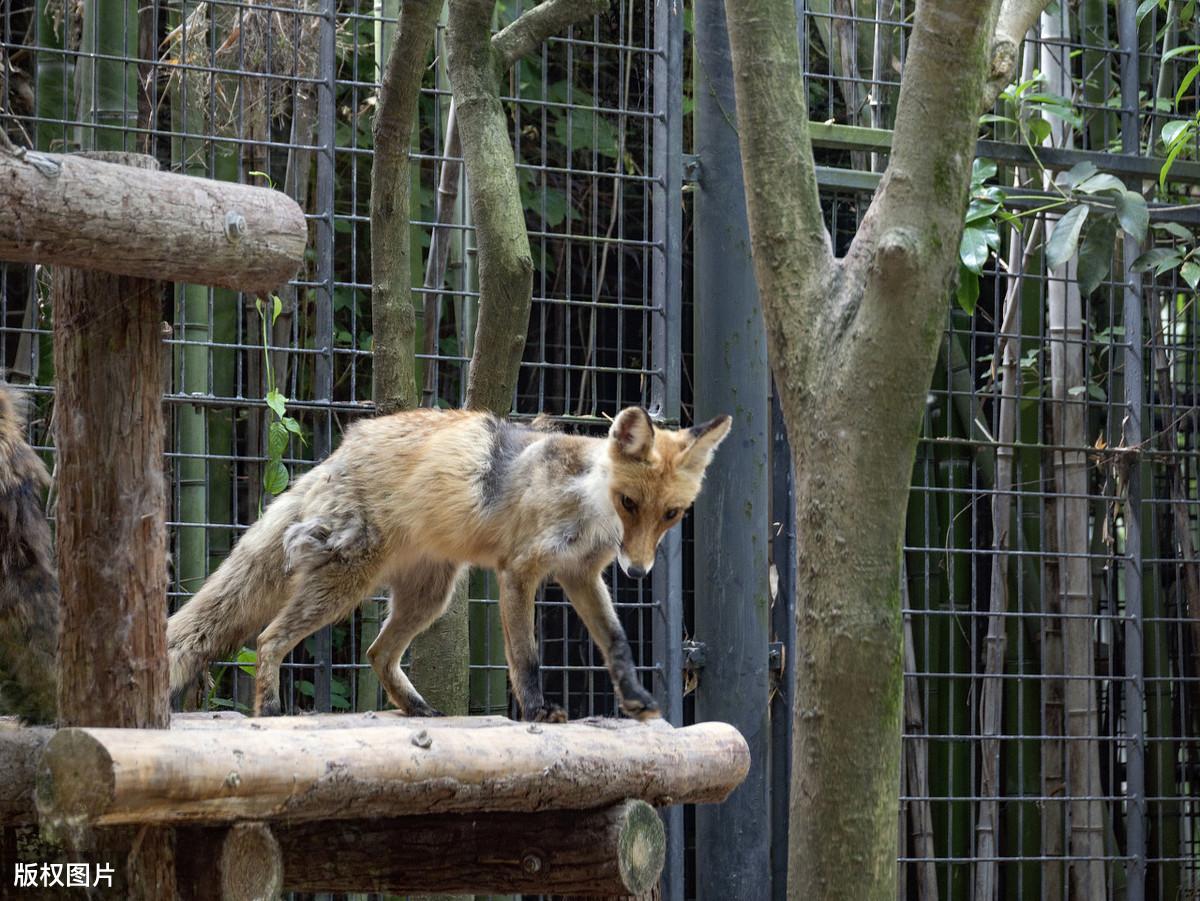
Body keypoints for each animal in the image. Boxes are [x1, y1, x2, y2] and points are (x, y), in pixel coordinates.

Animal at [166, 405, 729, 724]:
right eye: (629, 503)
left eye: (672, 514)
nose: (637, 573)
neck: (585, 503)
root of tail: (342, 449)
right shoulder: (519, 571)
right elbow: (524, 655)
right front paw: (538, 711)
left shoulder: (580, 574)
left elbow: (616, 643)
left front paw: (634, 699)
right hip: (346, 583)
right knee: (269, 639)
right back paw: (270, 711)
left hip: (428, 597)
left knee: (376, 652)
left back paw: (415, 708)